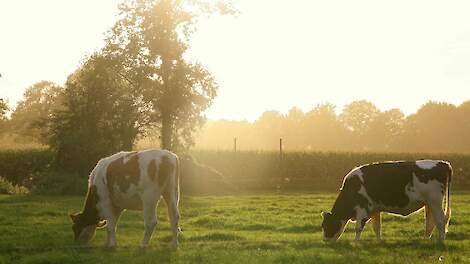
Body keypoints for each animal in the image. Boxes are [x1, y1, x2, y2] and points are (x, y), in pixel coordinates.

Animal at [320, 160, 452, 242]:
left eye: (327, 225)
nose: (325, 240)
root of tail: (443, 163)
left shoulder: (362, 208)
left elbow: (358, 228)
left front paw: (355, 243)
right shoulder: (375, 209)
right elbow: (377, 227)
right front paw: (379, 241)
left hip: (435, 202)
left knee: (440, 221)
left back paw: (441, 241)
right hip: (429, 203)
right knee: (430, 223)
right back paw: (425, 240)